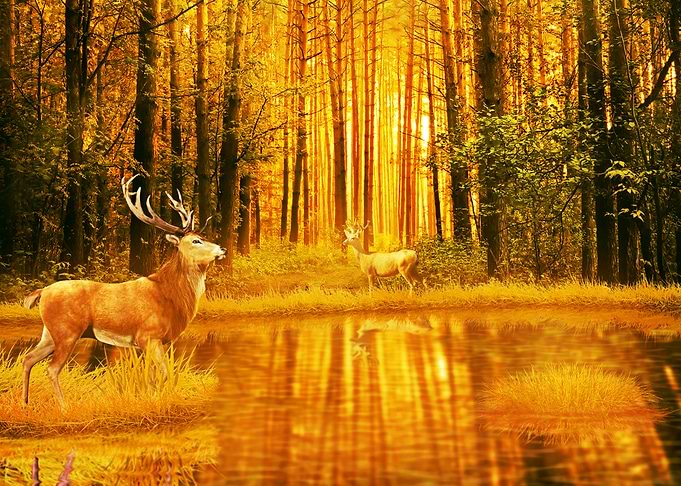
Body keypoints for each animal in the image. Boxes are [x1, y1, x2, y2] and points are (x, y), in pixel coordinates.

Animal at [21, 175, 225, 406]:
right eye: (196, 240)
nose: (222, 249)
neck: (169, 295)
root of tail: (42, 292)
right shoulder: (148, 335)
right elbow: (165, 374)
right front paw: (157, 400)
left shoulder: (153, 342)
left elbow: (153, 375)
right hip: (66, 331)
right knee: (52, 368)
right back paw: (64, 407)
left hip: (50, 333)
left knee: (28, 358)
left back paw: (25, 402)